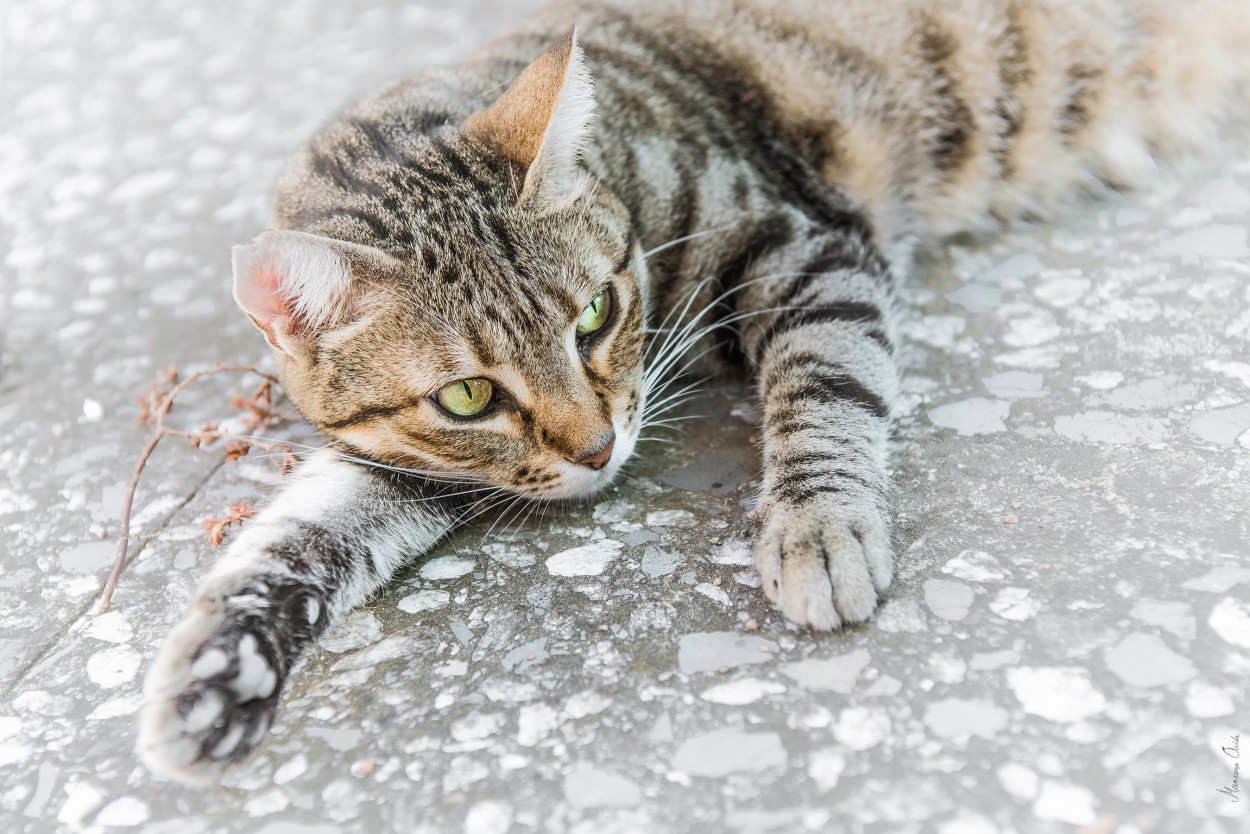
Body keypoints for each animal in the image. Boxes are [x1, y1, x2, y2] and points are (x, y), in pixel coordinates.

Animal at [136, 0, 1250, 785]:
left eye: (594, 314)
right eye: (465, 399)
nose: (596, 451)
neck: (626, 156)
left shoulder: (803, 246)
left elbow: (825, 384)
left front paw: (817, 527)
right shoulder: (410, 461)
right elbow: (303, 534)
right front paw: (219, 672)